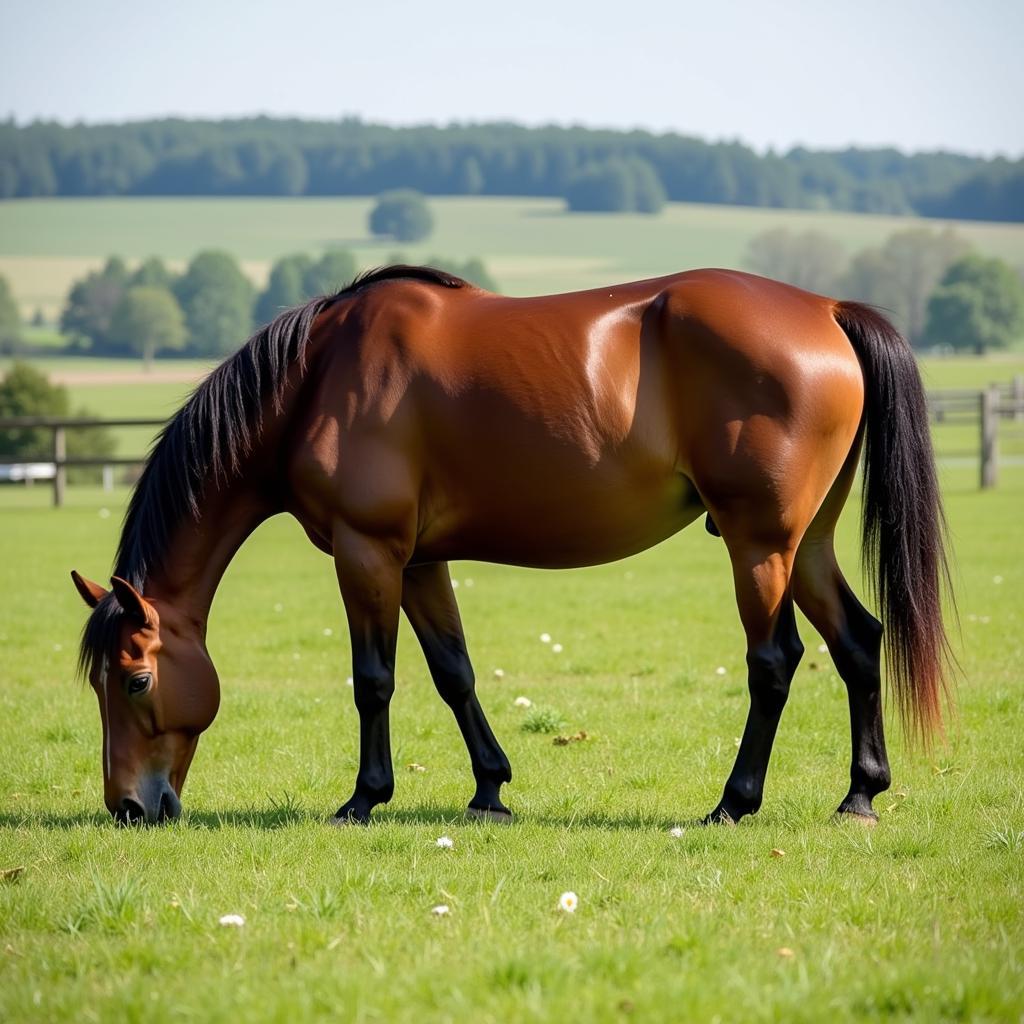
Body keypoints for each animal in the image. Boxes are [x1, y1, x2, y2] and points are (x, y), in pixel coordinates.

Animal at [72, 264, 950, 823]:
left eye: (137, 679)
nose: (129, 807)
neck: (316, 380)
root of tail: (825, 309)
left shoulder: (367, 552)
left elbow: (374, 680)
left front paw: (364, 797)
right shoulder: (418, 560)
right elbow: (453, 672)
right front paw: (490, 790)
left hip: (759, 544)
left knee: (775, 662)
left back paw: (735, 802)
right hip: (806, 544)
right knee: (858, 641)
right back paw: (860, 795)